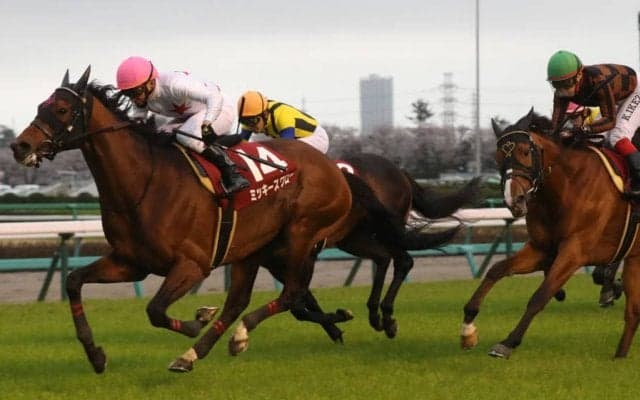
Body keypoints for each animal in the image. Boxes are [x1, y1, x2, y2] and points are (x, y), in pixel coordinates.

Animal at [10, 67, 394, 373]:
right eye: (40, 106)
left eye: (61, 109)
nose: (20, 146)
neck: (145, 182)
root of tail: (334, 168)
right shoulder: (130, 263)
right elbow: (74, 281)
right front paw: (95, 355)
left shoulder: (192, 264)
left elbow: (155, 310)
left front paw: (197, 318)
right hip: (251, 249)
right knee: (243, 301)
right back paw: (198, 352)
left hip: (300, 235)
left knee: (292, 293)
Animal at [459, 108, 640, 359]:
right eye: (497, 157)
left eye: (526, 151)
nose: (514, 200)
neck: (567, 185)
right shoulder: (542, 248)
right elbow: (497, 269)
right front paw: (468, 326)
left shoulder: (575, 251)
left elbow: (541, 294)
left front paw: (507, 342)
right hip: (634, 258)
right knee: (633, 312)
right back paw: (619, 356)